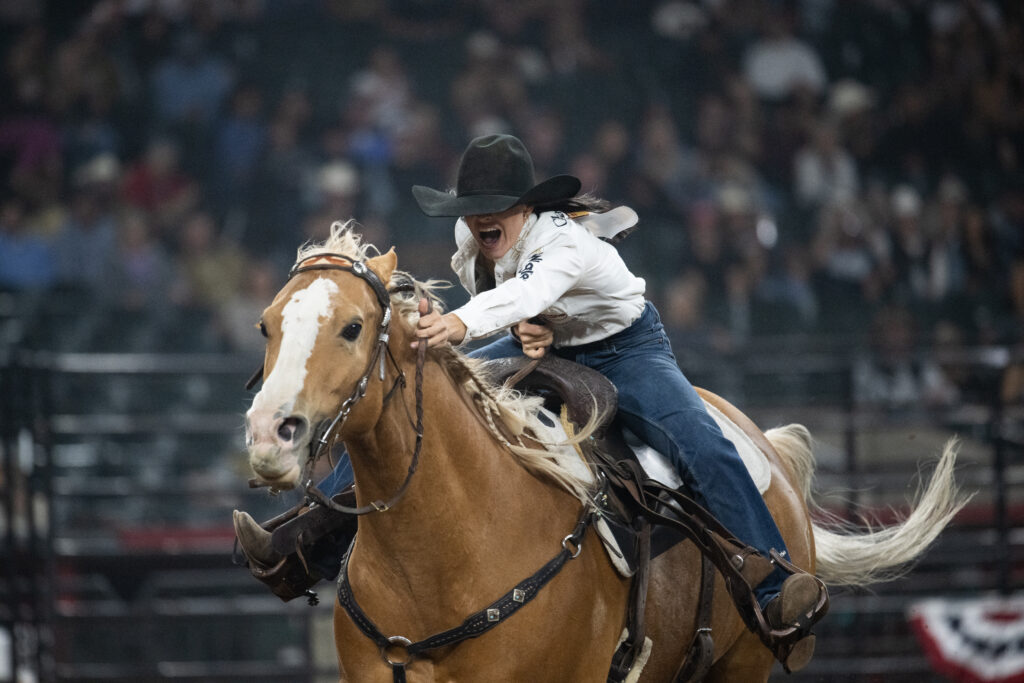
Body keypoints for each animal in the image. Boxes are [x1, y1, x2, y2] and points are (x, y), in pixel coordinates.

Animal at [243, 227, 962, 679]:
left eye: (353, 326)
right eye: (266, 326)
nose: (270, 434)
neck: (444, 550)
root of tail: (768, 449)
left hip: (743, 665)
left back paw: (787, 596)